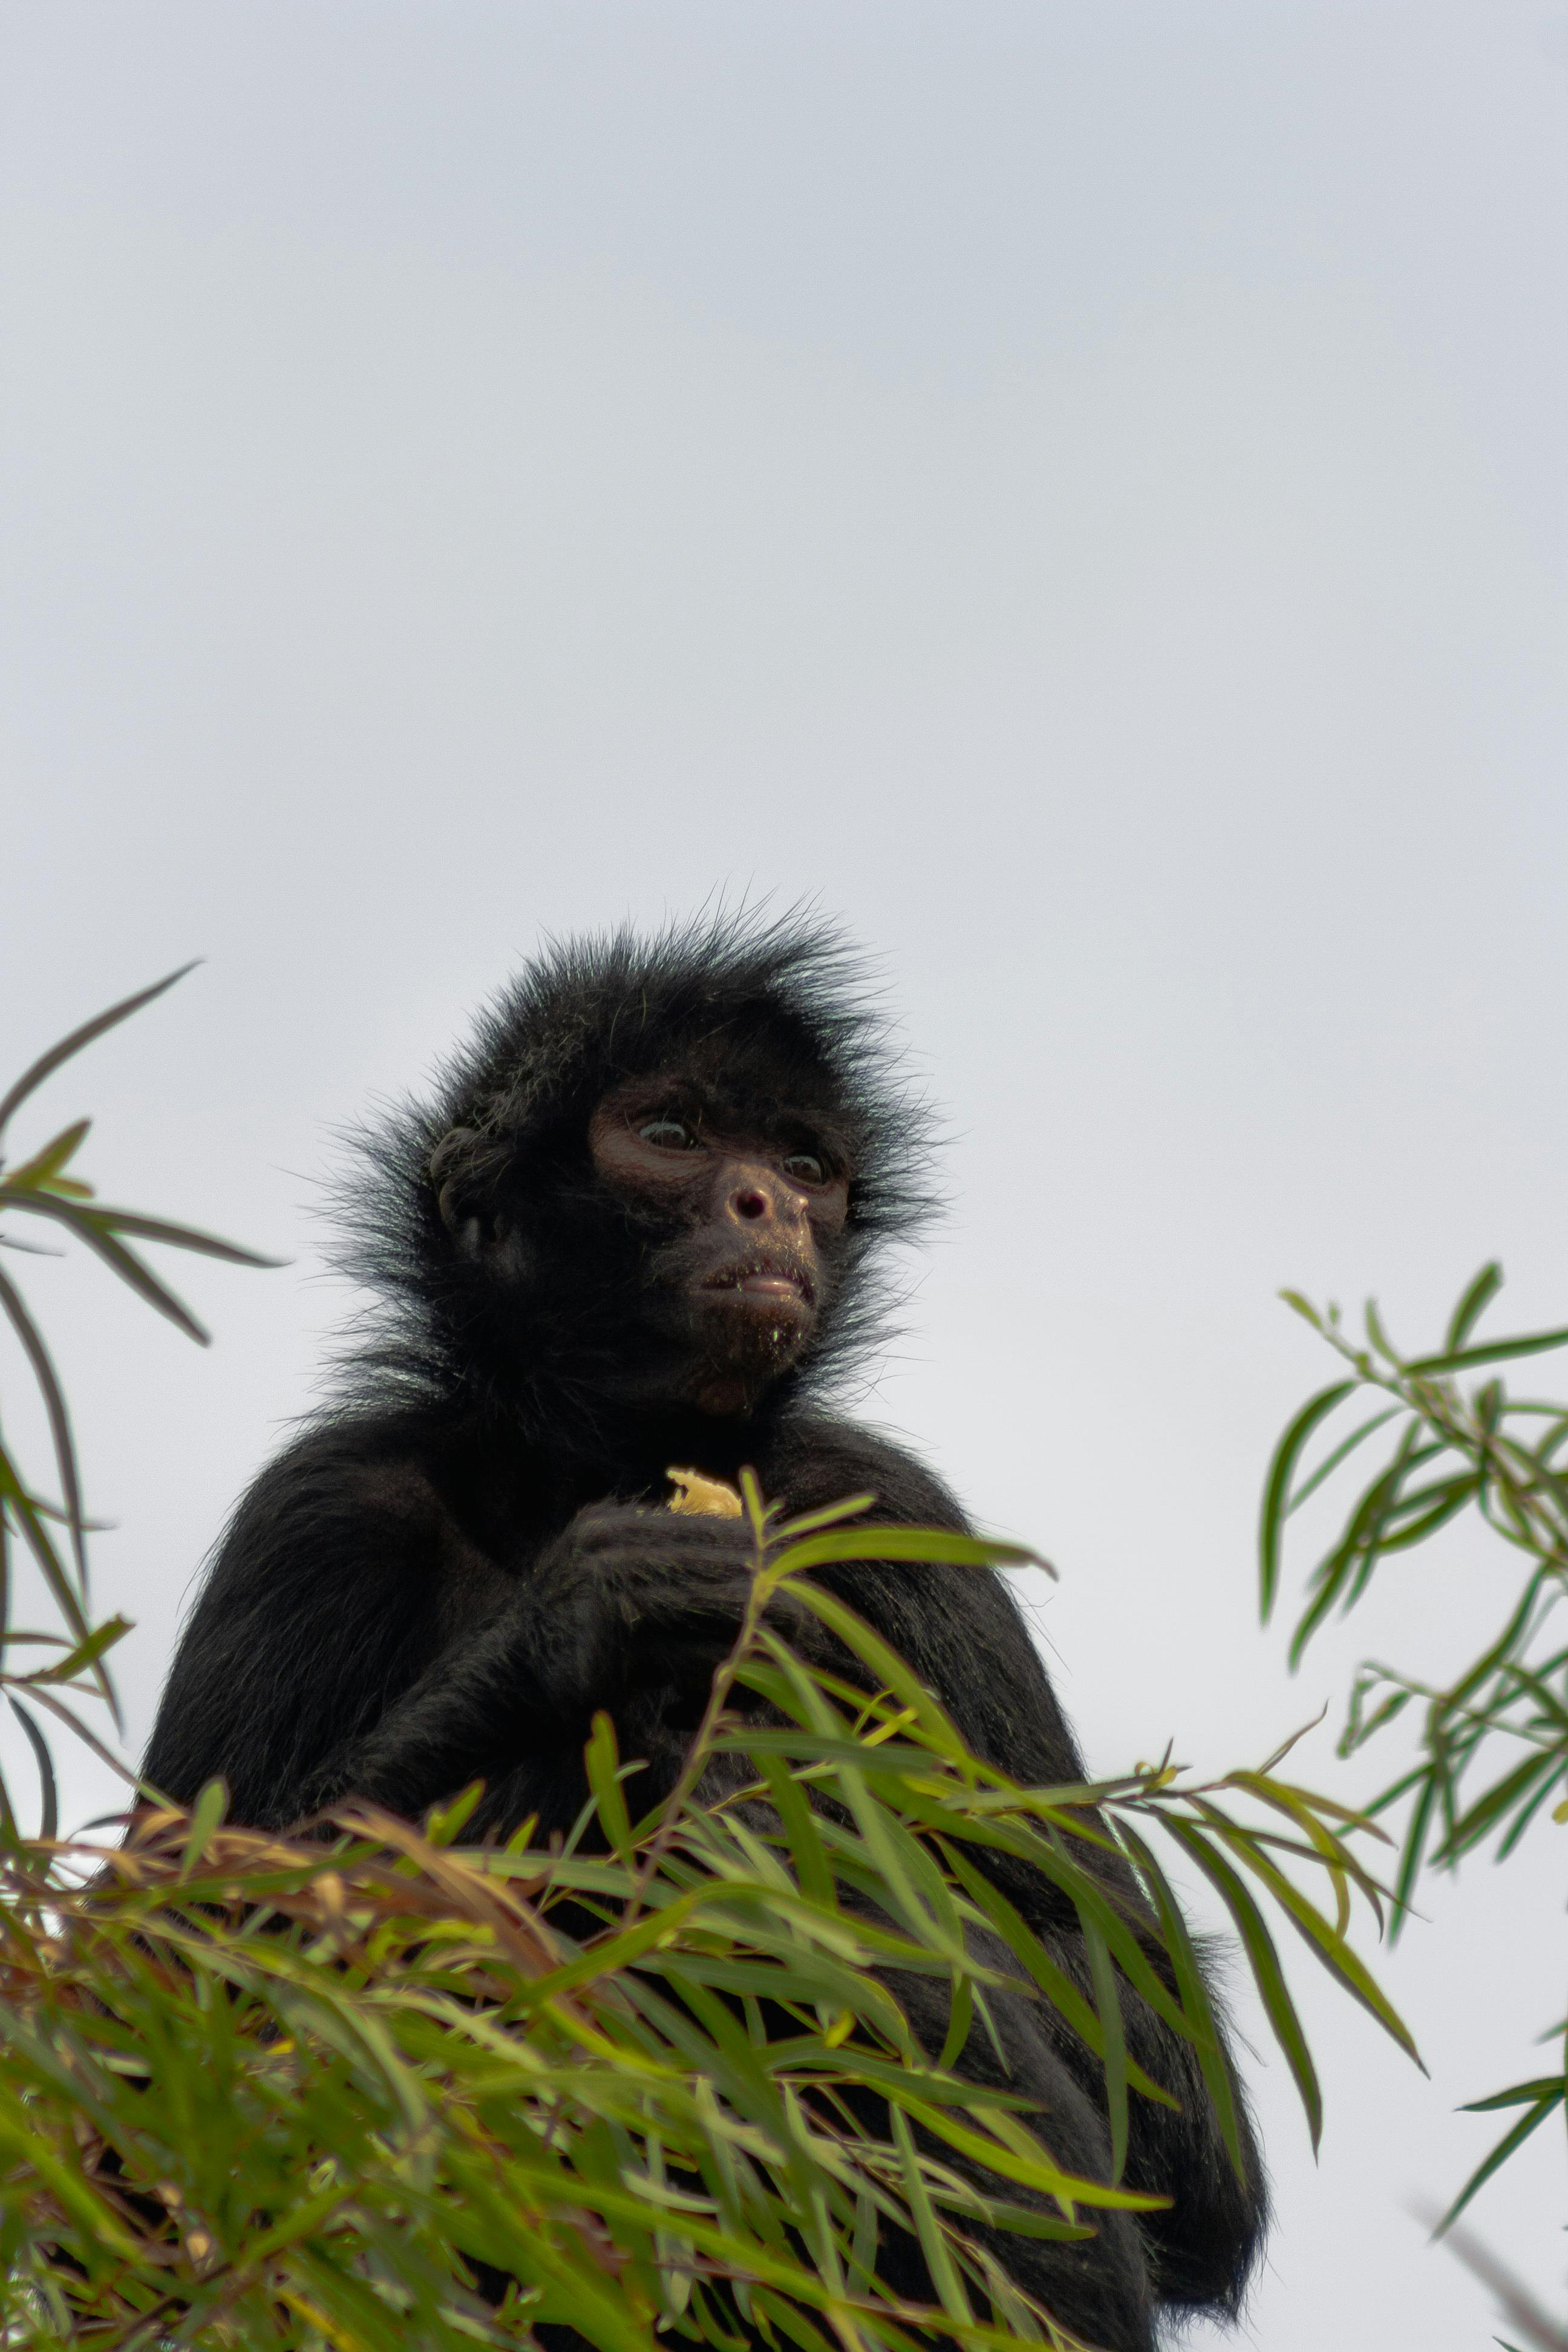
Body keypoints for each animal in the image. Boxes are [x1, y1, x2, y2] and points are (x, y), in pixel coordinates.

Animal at [143, 913, 1264, 2350]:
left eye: (805, 1165)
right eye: (671, 1134)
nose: (766, 1207)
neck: (594, 1470)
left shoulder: (883, 1509)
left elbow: (1193, 2151)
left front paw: (765, 1802)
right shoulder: (324, 1506)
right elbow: (145, 2092)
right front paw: (577, 1627)